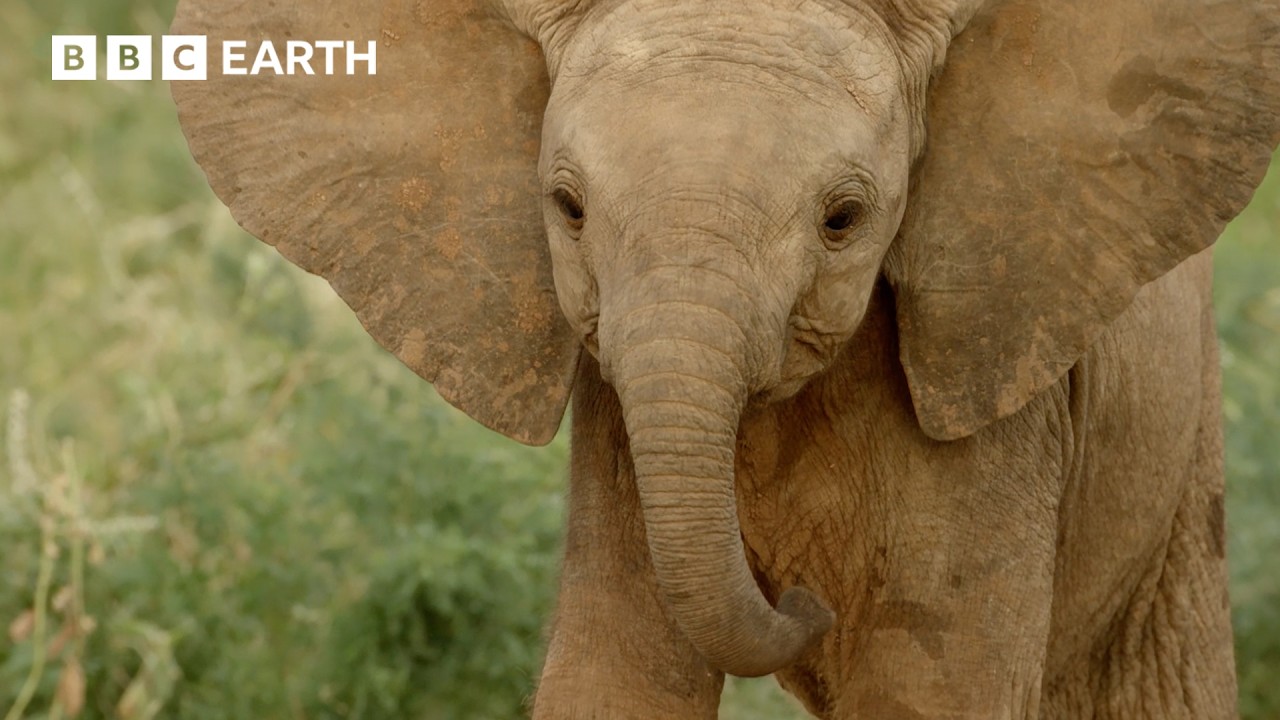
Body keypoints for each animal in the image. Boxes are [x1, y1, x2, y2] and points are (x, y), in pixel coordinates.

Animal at [170, 0, 1280, 716]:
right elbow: (615, 673)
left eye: (844, 220)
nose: (799, 598)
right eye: (567, 208)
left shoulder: (993, 383)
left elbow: (925, 684)